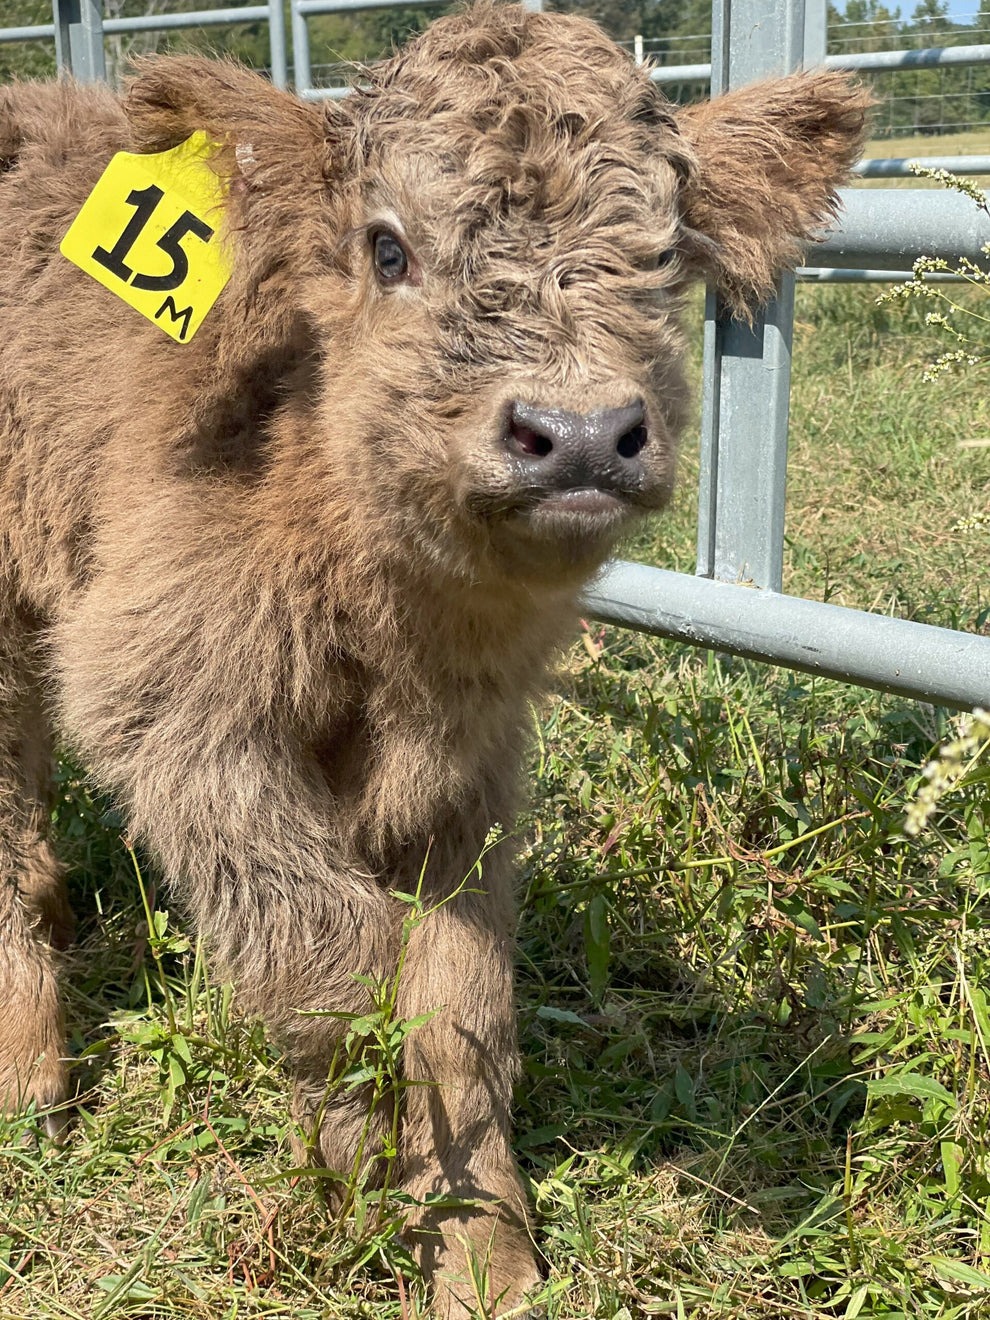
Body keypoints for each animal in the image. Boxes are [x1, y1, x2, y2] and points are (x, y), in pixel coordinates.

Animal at [0, 7, 865, 1309]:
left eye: (666, 256)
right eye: (388, 247)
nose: (576, 435)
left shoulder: (471, 765)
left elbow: (461, 1014)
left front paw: (482, 1254)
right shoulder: (169, 706)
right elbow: (329, 954)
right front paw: (354, 1175)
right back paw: (28, 1089)